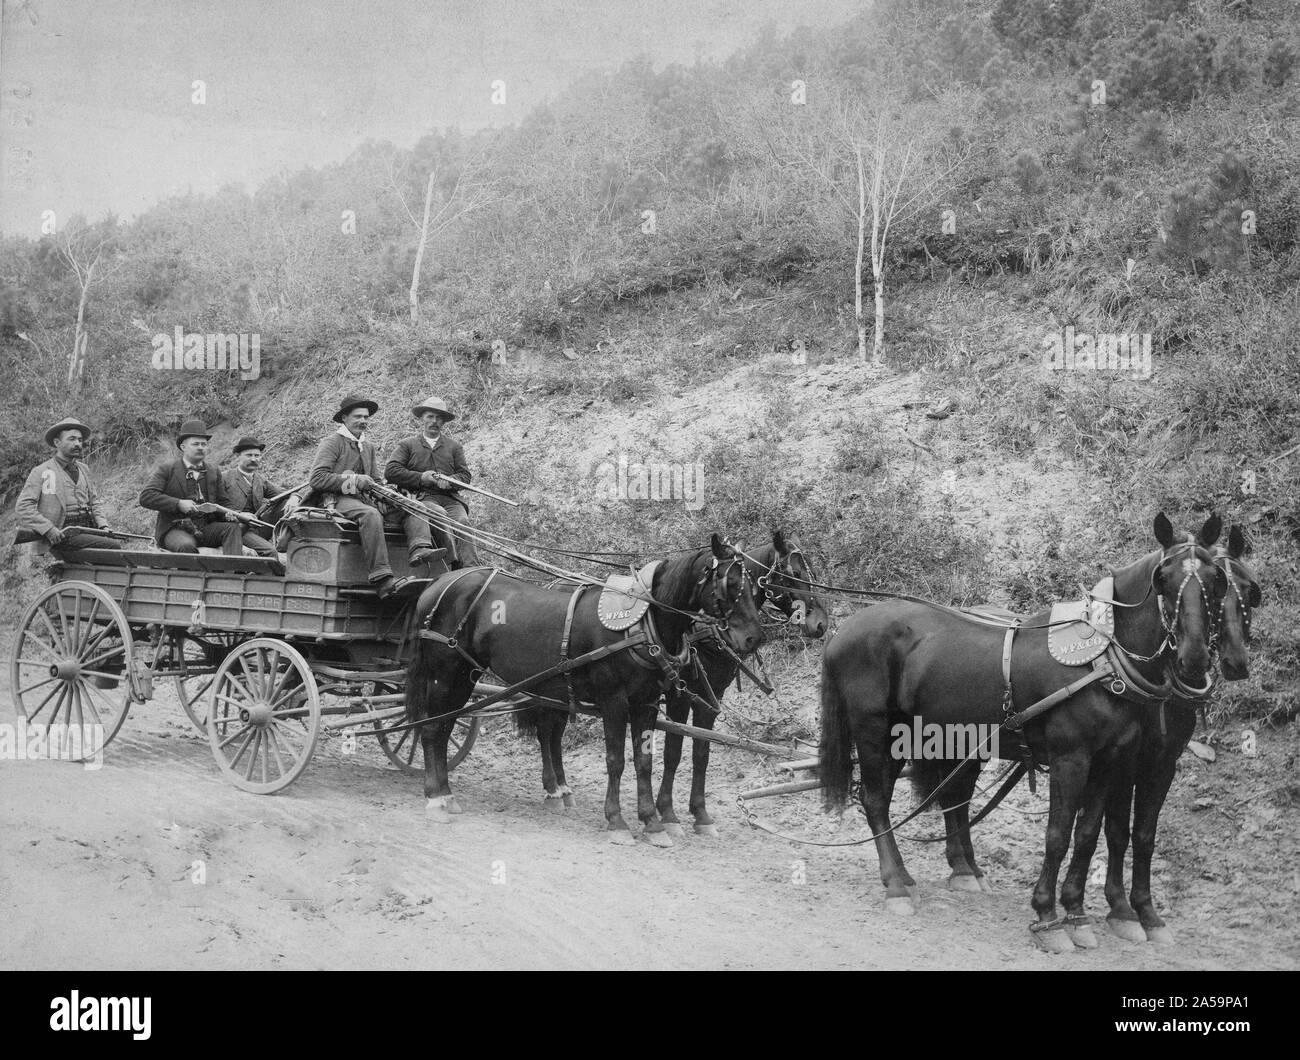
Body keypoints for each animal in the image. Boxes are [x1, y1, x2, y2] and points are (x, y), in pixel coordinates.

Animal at [405, 538, 764, 848]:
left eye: (754, 586)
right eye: (732, 584)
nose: (752, 638)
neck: (640, 623)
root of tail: (437, 584)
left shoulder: (646, 703)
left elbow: (645, 761)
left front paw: (652, 823)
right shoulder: (614, 701)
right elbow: (616, 760)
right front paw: (617, 821)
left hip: (466, 676)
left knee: (449, 728)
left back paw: (448, 793)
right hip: (444, 675)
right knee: (433, 729)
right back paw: (436, 798)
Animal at [655, 530, 826, 837]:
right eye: (795, 573)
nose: (821, 624)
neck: (708, 630)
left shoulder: (711, 698)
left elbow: (701, 752)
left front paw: (700, 814)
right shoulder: (680, 697)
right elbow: (673, 751)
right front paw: (667, 812)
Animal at [816, 515, 1222, 952]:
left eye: (1215, 578)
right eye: (1163, 577)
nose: (1195, 656)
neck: (1101, 662)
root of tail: (842, 631)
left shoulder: (1109, 761)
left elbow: (1087, 834)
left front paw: (1077, 914)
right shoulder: (1071, 759)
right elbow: (1058, 834)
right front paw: (1047, 916)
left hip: (923, 733)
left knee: (939, 799)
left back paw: (924, 876)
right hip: (877, 732)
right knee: (876, 801)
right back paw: (895, 886)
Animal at [1060, 525, 1263, 946]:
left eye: (1247, 590)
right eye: (1219, 589)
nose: (1235, 662)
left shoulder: (1163, 761)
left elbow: (1143, 833)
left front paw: (1143, 910)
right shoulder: (1125, 762)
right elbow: (1115, 830)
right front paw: (1120, 908)